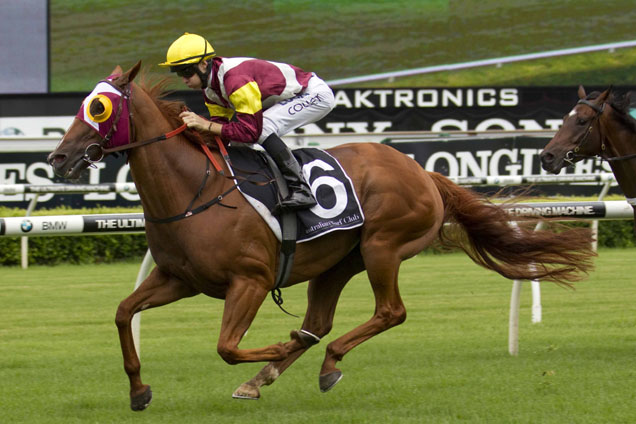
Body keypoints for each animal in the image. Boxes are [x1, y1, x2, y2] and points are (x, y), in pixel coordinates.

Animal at [48, 63, 596, 410]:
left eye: (99, 108)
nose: (57, 157)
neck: (193, 189)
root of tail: (420, 169)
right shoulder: (177, 278)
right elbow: (124, 313)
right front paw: (138, 391)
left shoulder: (249, 280)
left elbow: (227, 345)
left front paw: (270, 349)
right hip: (337, 262)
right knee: (318, 322)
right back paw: (272, 373)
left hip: (382, 247)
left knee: (388, 313)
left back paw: (317, 363)